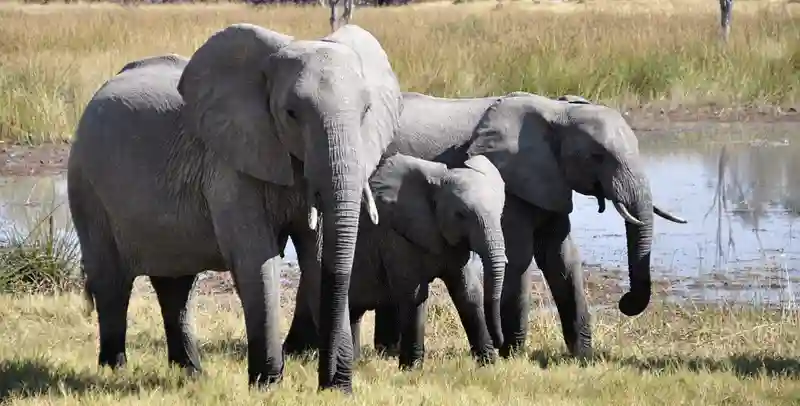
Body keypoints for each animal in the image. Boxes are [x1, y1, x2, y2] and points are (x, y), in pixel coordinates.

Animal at [67, 23, 406, 394]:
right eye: (291, 113)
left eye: (366, 111)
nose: (334, 383)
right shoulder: (229, 165)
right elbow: (255, 258)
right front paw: (267, 386)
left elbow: (317, 257)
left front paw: (335, 388)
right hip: (86, 185)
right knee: (112, 282)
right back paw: (114, 370)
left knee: (176, 286)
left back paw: (191, 374)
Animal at [316, 152, 504, 368]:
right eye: (461, 214)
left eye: (500, 212)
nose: (499, 342)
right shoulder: (395, 236)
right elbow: (413, 294)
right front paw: (411, 369)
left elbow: (468, 293)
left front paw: (489, 364)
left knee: (354, 313)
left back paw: (353, 362)